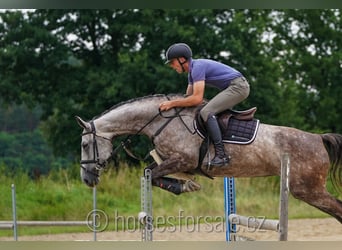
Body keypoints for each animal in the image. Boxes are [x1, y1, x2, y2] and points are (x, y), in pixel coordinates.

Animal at [76, 93, 342, 223]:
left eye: (85, 145)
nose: (87, 180)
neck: (160, 121)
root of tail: (318, 138)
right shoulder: (170, 161)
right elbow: (150, 173)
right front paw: (186, 185)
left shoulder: (183, 160)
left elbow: (151, 174)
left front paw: (185, 186)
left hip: (307, 188)